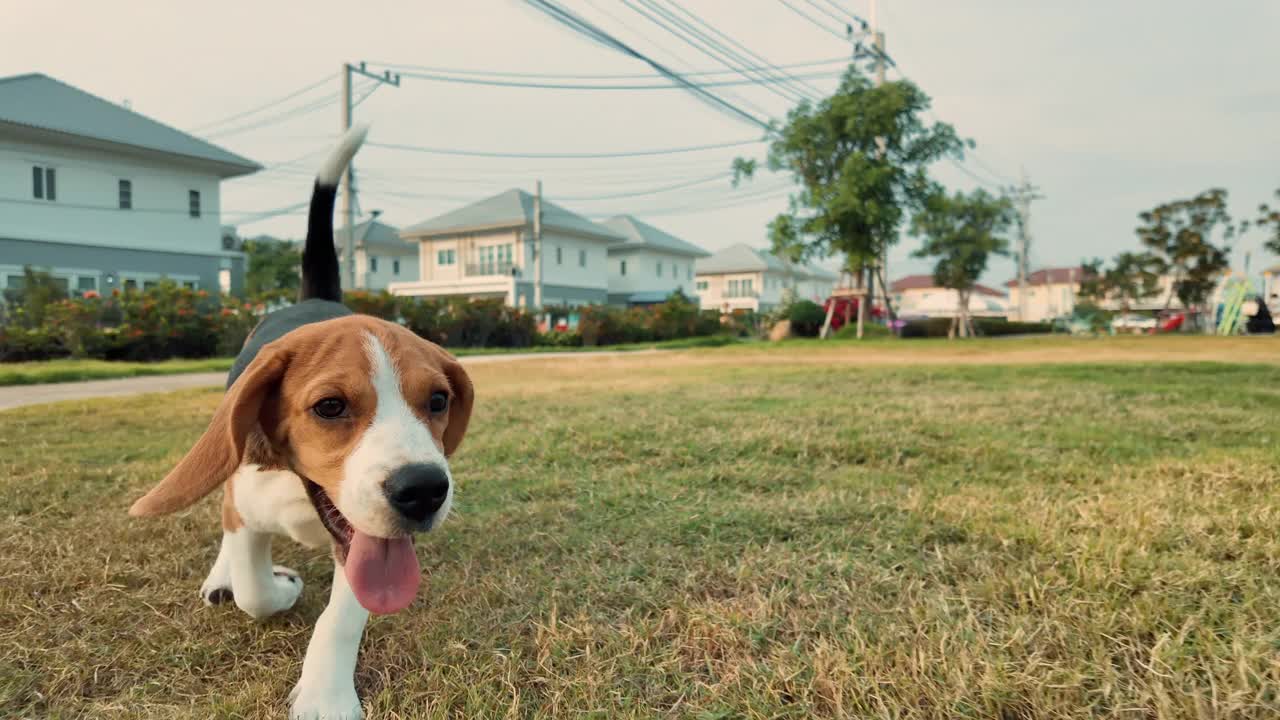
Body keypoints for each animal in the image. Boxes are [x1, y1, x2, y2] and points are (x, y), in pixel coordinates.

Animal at [128, 124, 476, 717]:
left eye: (437, 400)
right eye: (330, 407)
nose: (423, 491)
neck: (299, 492)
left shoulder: (361, 545)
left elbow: (340, 619)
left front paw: (325, 695)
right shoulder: (248, 499)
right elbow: (254, 590)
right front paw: (279, 586)